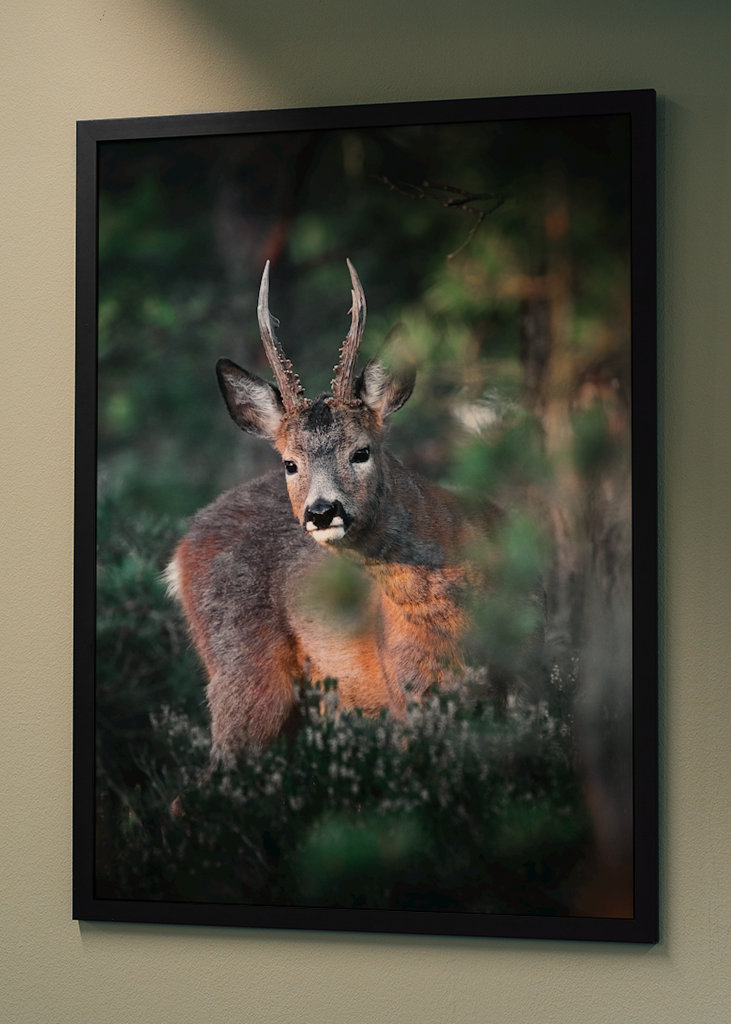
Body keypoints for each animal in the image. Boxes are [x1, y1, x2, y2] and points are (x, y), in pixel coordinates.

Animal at [166, 260, 498, 767]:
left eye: (361, 451)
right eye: (290, 463)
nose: (322, 511)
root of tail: (183, 547)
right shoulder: (407, 693)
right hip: (243, 671)